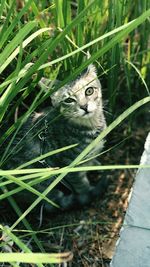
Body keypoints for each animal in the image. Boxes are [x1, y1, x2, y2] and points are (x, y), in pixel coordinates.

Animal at [1, 65, 106, 214]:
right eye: (69, 100)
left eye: (89, 91)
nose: (84, 106)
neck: (91, 127)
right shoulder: (69, 164)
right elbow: (81, 184)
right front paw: (87, 193)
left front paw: (96, 164)